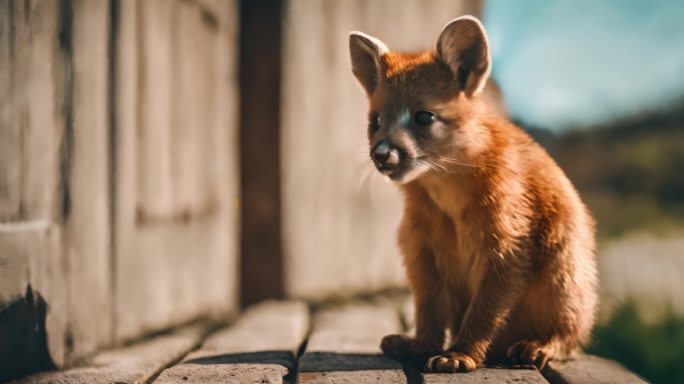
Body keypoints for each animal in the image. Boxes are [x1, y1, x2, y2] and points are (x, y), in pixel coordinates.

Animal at [350, 16, 596, 374]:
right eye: (376, 121)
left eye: (424, 116)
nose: (381, 155)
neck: (450, 203)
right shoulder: (420, 251)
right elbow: (429, 311)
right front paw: (421, 347)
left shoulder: (509, 248)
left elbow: (484, 312)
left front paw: (458, 356)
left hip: (563, 273)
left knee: (571, 338)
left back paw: (536, 347)